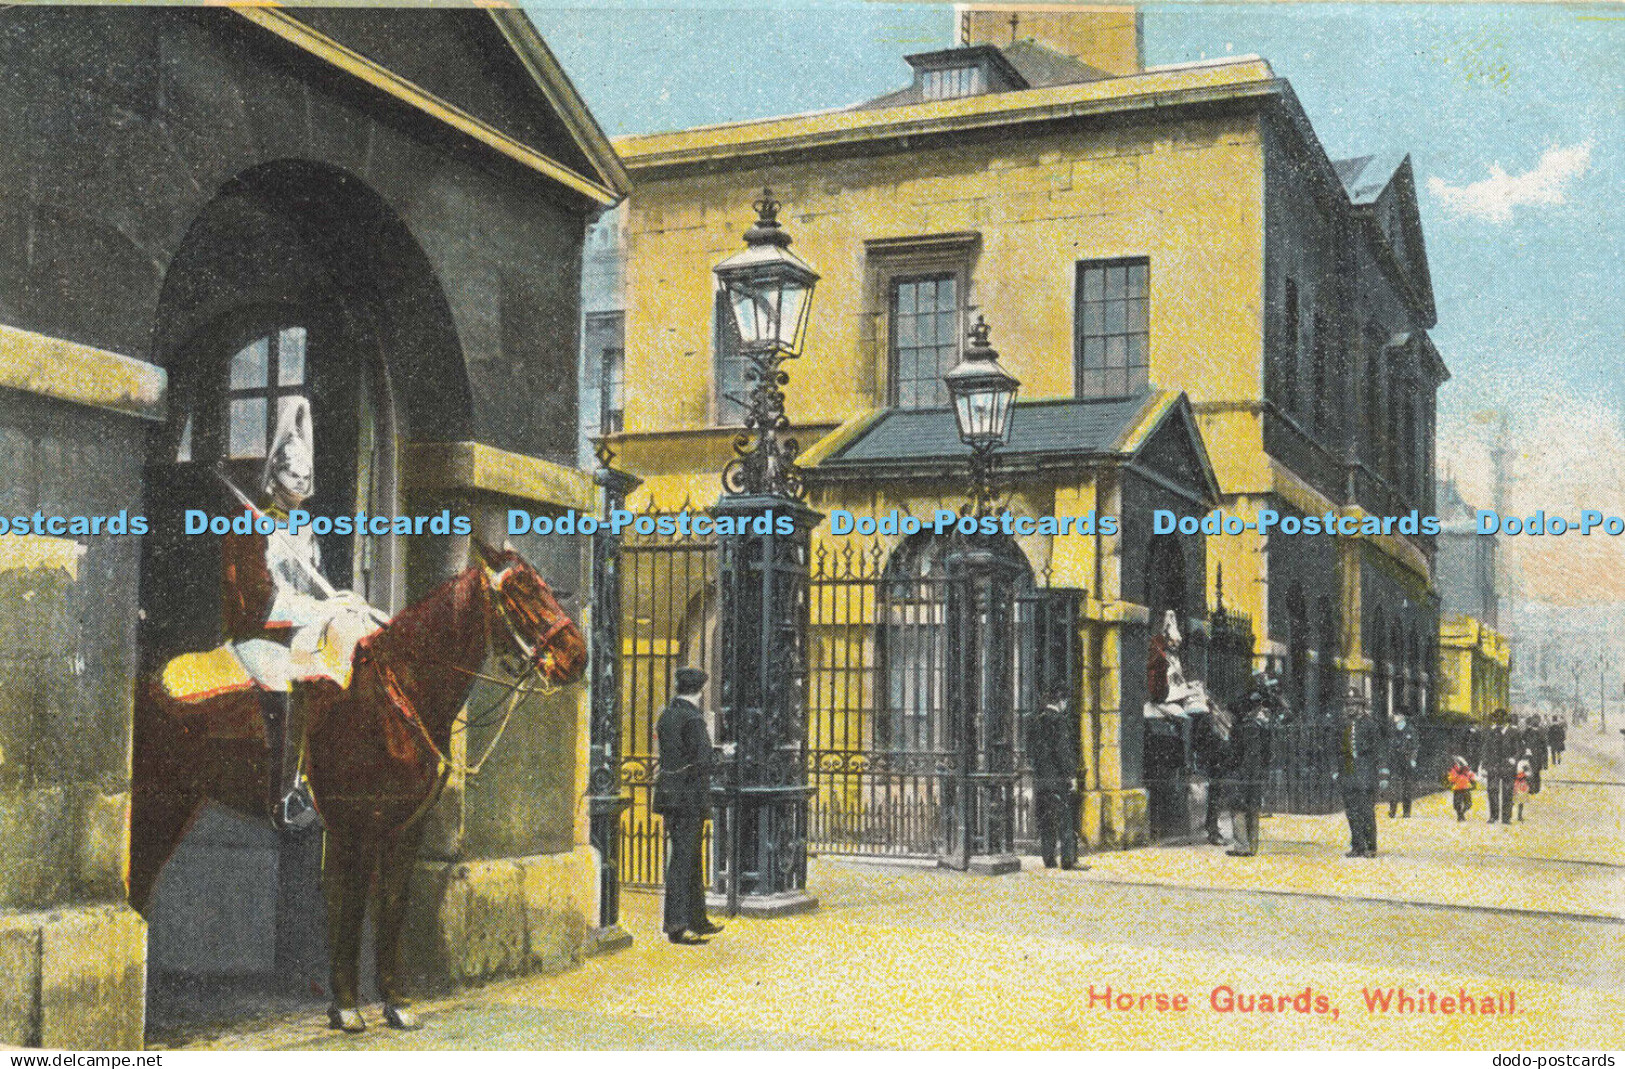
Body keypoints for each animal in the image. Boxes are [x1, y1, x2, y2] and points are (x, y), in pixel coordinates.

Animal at [128, 536, 585, 1026]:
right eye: (520, 591)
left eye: (546, 586)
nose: (577, 657)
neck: (398, 693)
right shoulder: (356, 827)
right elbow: (350, 905)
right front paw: (346, 1007)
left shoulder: (404, 828)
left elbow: (392, 906)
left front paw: (396, 1003)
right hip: (155, 804)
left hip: (179, 805)